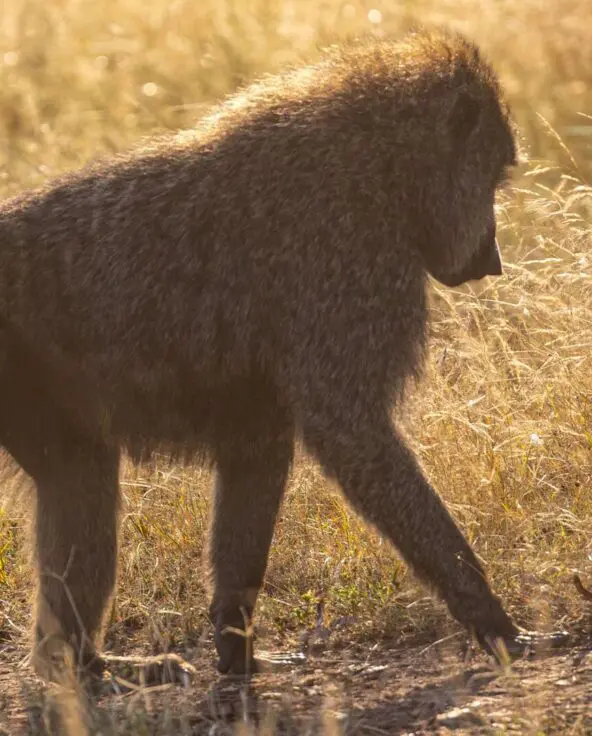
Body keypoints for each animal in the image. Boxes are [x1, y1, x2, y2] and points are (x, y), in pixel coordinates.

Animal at [0, 28, 560, 683]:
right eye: (493, 178)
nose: (492, 259)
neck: (380, 166)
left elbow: (259, 454)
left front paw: (234, 644)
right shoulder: (354, 262)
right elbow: (350, 432)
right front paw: (495, 624)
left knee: (77, 471)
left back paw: (79, 663)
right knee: (82, 474)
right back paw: (88, 670)